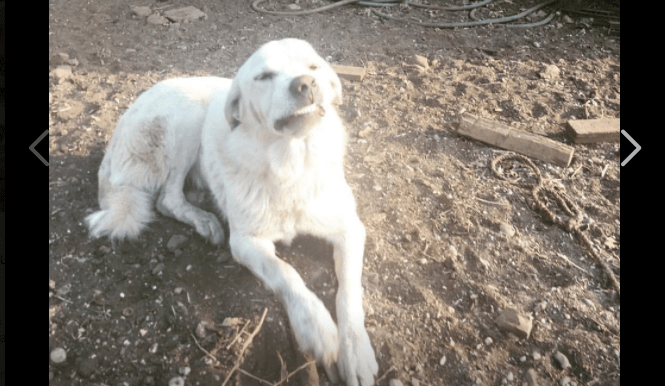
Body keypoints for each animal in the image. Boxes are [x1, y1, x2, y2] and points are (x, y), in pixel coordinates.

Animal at [85, 37, 376, 384]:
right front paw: (316, 327)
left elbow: (348, 293)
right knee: (166, 198)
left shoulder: (350, 228)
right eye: (264, 76)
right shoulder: (245, 242)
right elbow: (286, 273)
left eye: (313, 67)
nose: (305, 84)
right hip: (187, 119)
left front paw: (355, 351)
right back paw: (203, 219)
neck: (289, 164)